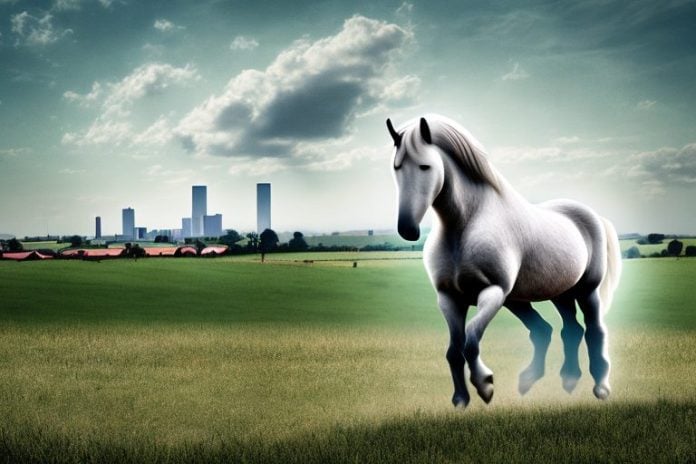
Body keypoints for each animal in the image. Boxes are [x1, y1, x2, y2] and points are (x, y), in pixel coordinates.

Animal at [386, 114, 621, 407]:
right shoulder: (449, 298)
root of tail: (593, 215)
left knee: (594, 330)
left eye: (425, 165)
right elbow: (454, 350)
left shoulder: (493, 292)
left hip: (586, 291)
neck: (465, 225)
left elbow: (471, 340)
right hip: (552, 295)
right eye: (396, 167)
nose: (407, 228)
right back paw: (558, 380)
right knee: (563, 330)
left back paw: (600, 387)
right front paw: (461, 399)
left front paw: (485, 385)